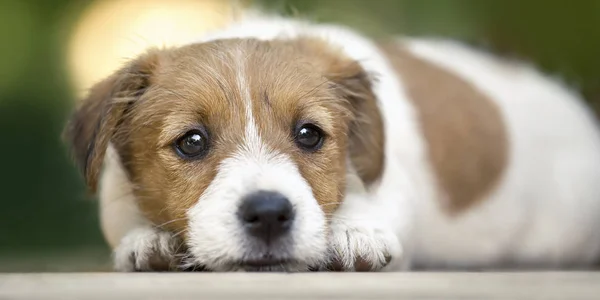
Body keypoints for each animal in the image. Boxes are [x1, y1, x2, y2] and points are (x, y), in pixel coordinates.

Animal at [64, 11, 600, 272]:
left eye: (309, 134)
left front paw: (353, 233)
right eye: (191, 142)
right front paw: (149, 240)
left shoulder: (391, 179)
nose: (268, 214)